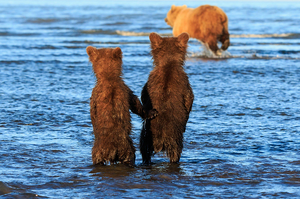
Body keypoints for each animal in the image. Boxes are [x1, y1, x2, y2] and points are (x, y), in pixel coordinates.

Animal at [139, 32, 193, 163]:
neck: (169, 63)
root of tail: (159, 140)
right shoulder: (185, 83)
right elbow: (189, 100)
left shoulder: (149, 83)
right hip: (174, 138)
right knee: (176, 152)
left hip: (146, 137)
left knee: (144, 151)